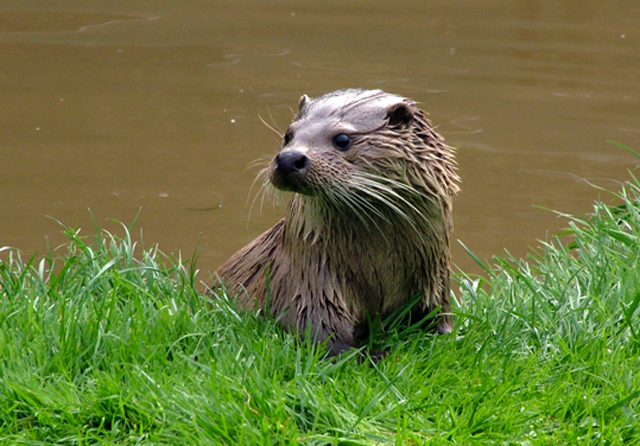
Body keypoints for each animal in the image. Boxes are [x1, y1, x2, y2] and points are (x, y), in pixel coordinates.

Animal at [212, 89, 458, 358]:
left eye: (342, 139)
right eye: (288, 134)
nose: (288, 158)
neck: (378, 273)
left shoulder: (435, 283)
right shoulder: (310, 286)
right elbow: (324, 338)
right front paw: (375, 354)